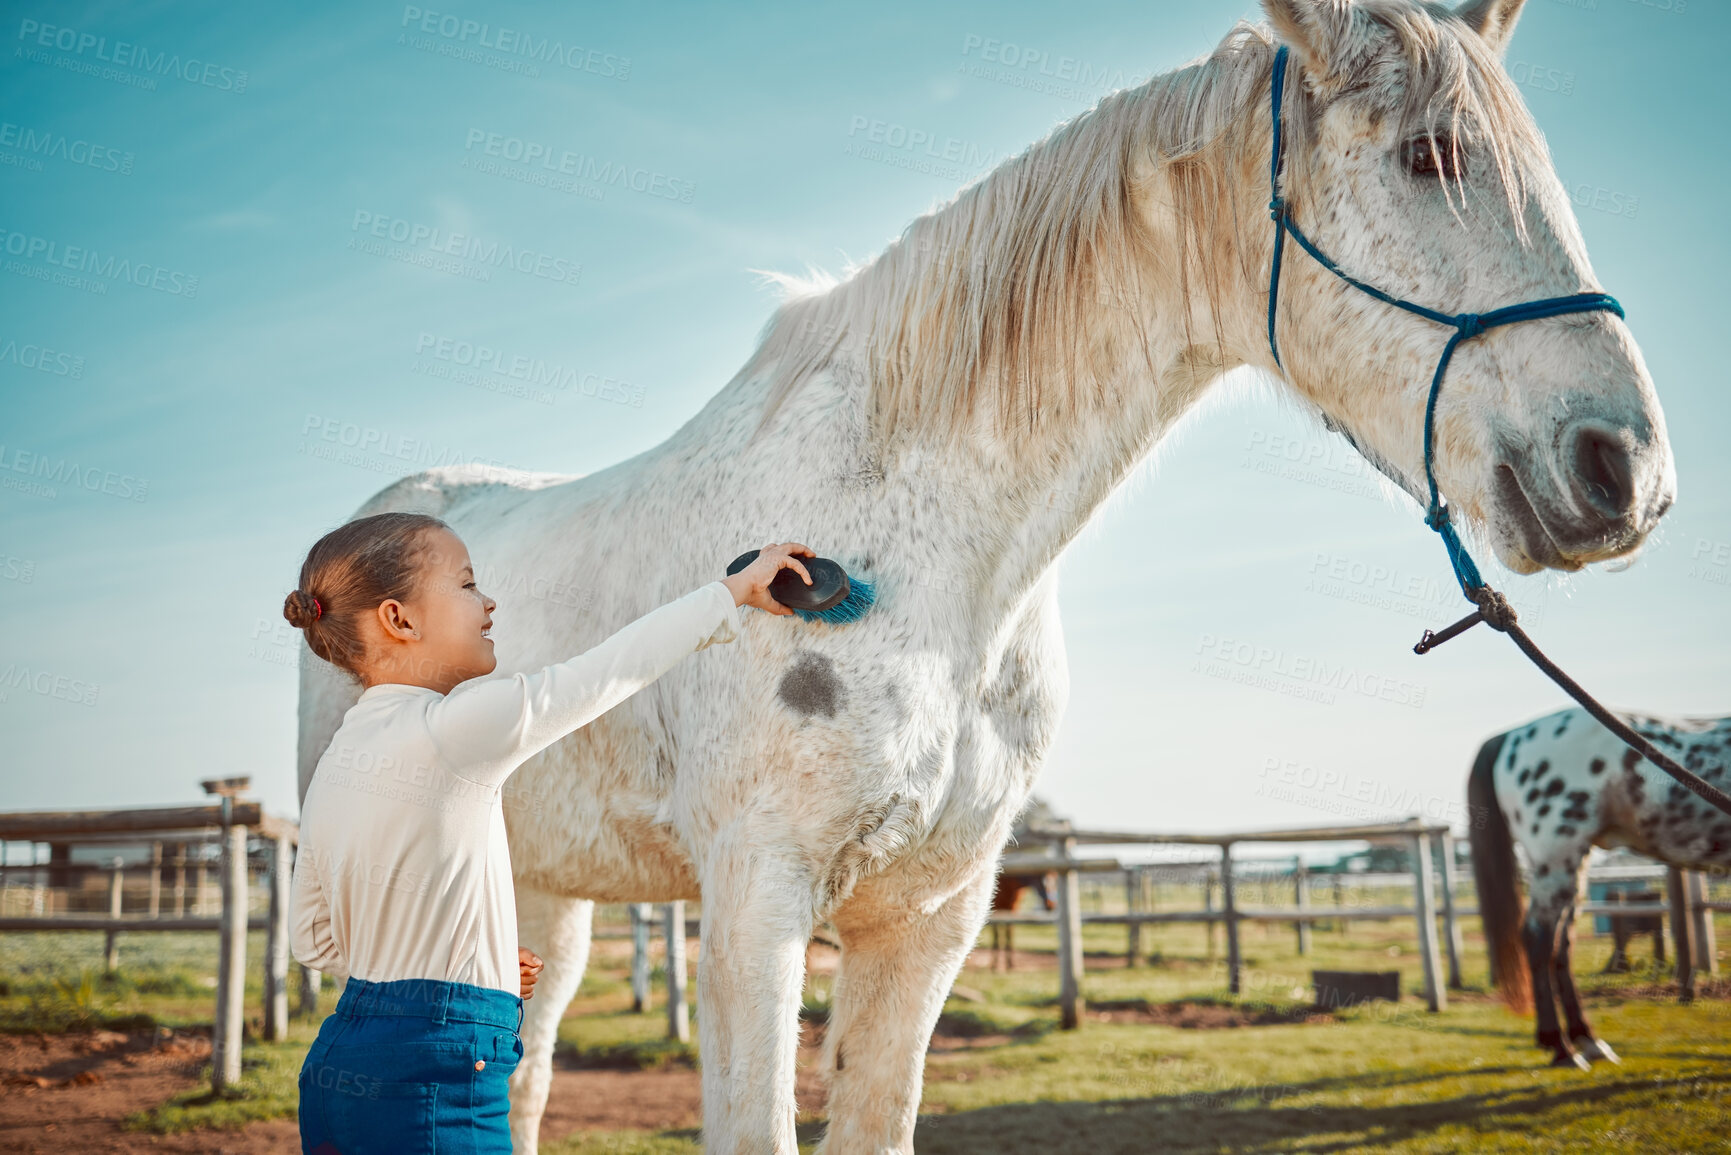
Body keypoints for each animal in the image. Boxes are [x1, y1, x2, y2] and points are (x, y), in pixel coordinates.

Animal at [297, 4, 1675, 1149]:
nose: (1628, 473)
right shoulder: (753, 911)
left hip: (539, 889)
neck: (920, 569)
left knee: (524, 1075)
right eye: (1429, 157)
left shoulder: (930, 921)